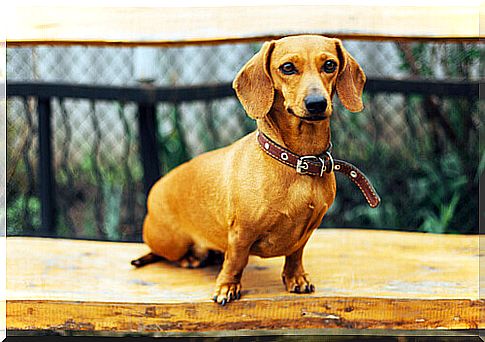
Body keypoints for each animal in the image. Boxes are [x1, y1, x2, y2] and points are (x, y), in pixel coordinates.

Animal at [131, 34, 364, 304]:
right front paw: (227, 287)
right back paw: (188, 258)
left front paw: (296, 278)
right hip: (170, 241)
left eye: (329, 65)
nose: (316, 103)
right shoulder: (240, 233)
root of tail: (154, 192)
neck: (297, 160)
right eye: (287, 67)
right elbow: (235, 261)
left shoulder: (307, 231)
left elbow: (295, 254)